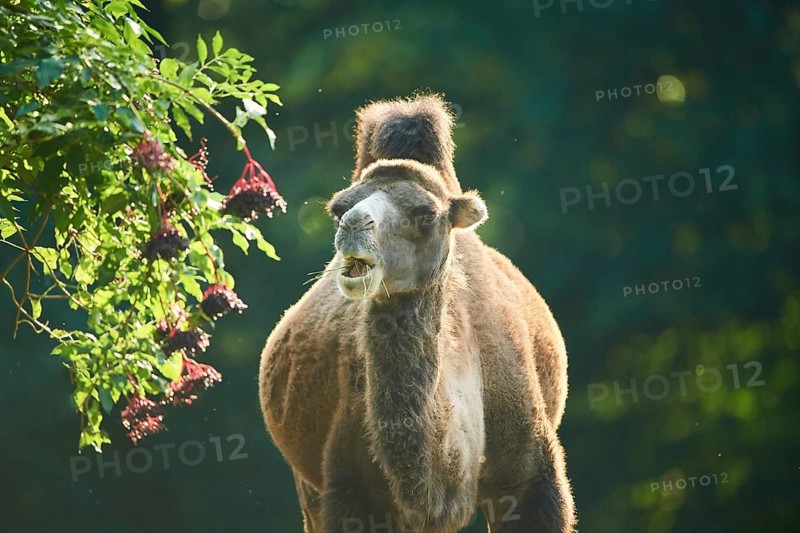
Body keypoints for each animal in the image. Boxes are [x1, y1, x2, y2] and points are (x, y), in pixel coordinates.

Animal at [259, 94, 575, 532]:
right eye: (339, 208)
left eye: (426, 214)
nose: (353, 224)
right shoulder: (348, 488)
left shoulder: (530, 478)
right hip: (309, 483)